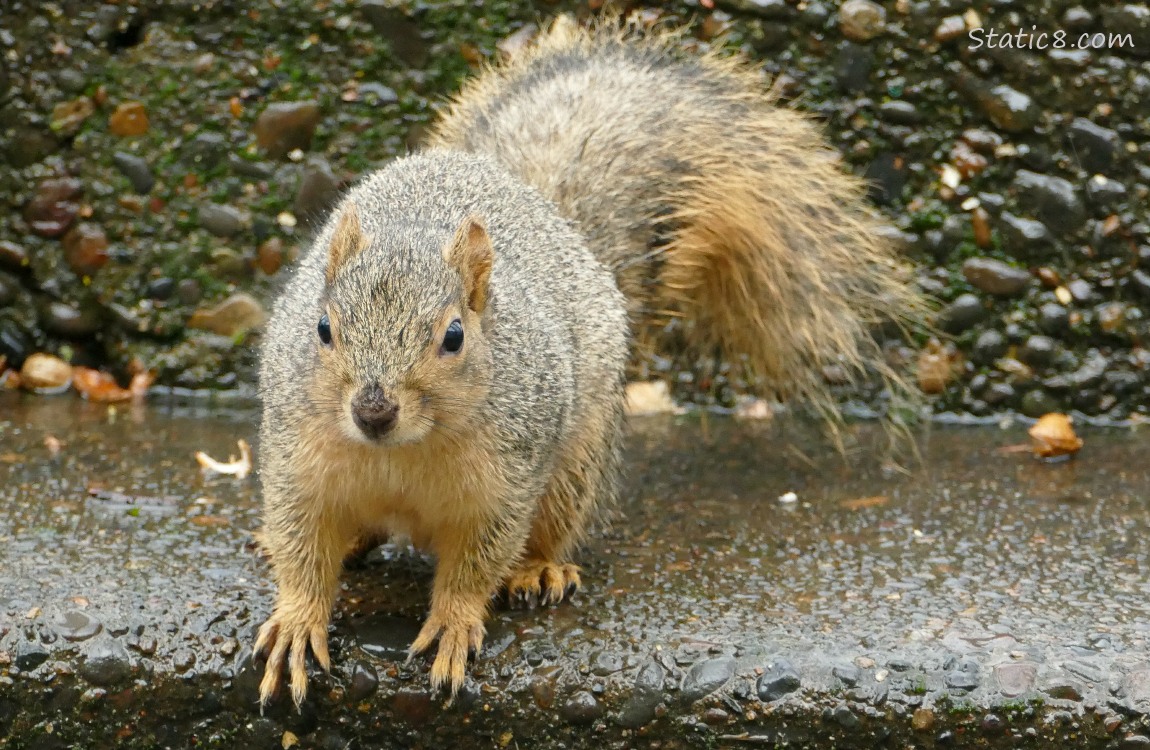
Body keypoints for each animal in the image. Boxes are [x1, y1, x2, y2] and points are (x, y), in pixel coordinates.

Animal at [249, 16, 915, 708]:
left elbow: (476, 564)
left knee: (547, 526)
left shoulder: (508, 479)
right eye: (322, 328)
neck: (401, 453)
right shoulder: (299, 461)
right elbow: (302, 550)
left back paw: (541, 570)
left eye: (454, 336)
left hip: (575, 465)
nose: (373, 410)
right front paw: (296, 621)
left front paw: (455, 623)